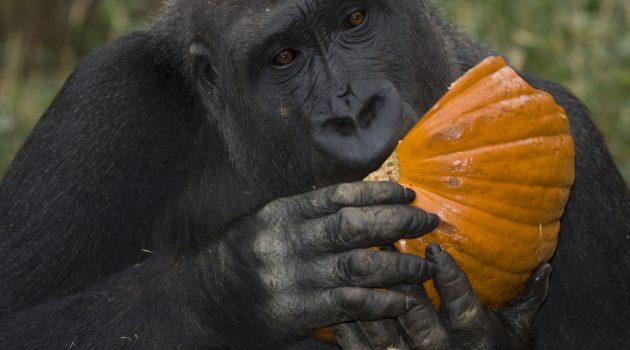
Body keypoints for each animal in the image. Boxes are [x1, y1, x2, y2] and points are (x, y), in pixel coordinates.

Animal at [1, 0, 630, 350]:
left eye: (354, 19)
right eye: (285, 56)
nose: (354, 113)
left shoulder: (578, 142)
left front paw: (473, 337)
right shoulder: (104, 100)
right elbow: (19, 322)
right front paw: (254, 279)